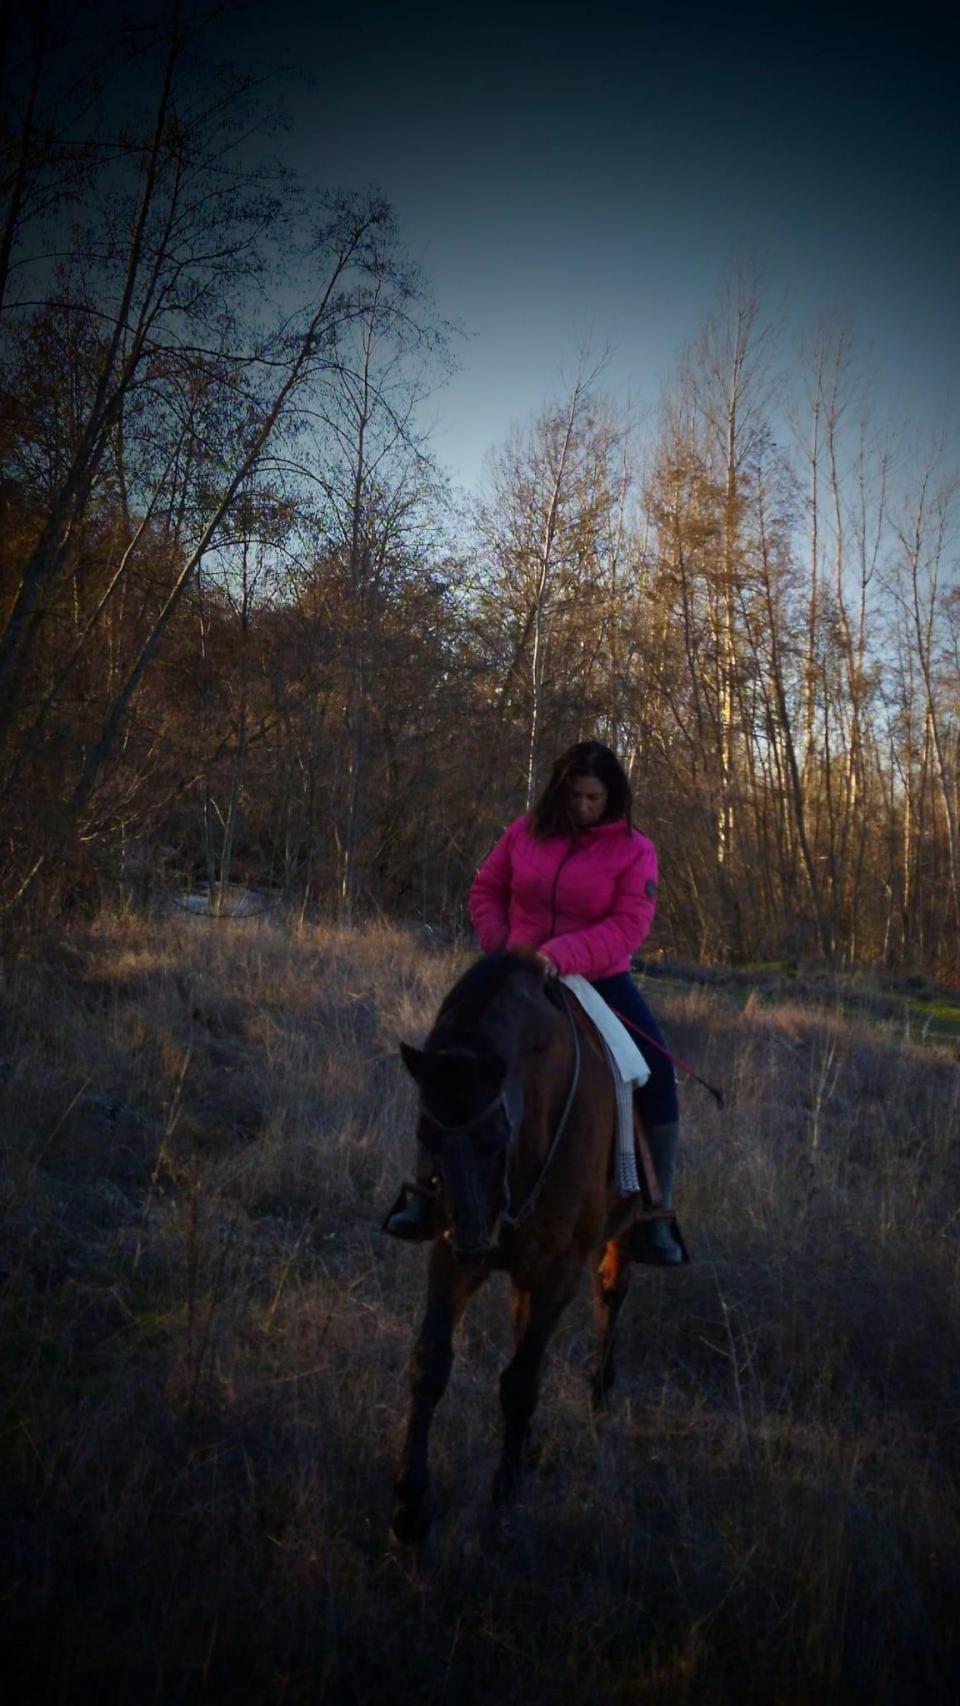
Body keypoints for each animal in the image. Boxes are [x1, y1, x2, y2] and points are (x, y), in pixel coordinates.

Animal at [390, 948, 644, 1547]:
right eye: (427, 1135)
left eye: (493, 1138)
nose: (472, 1241)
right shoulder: (448, 1258)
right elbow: (430, 1363)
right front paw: (409, 1508)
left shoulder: (558, 1271)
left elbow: (522, 1383)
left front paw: (503, 1501)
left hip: (619, 1236)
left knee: (610, 1295)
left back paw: (599, 1393)